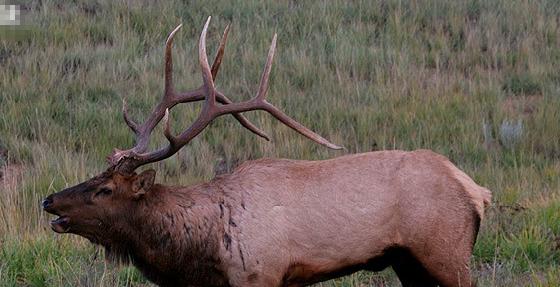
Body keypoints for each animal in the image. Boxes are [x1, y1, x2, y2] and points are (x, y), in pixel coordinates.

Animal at [42, 18, 490, 287]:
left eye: (105, 190)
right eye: (95, 177)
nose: (49, 200)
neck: (204, 249)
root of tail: (477, 191)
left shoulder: (261, 273)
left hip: (448, 252)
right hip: (408, 262)